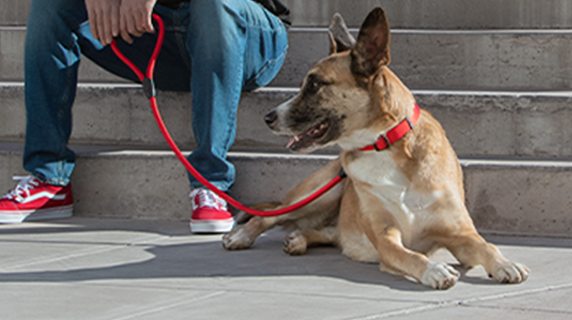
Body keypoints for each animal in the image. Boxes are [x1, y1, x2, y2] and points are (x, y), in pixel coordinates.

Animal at [221, 7, 528, 290]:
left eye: (315, 84)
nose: (268, 117)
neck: (383, 144)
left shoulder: (460, 234)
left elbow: (486, 246)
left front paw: (505, 263)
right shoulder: (385, 238)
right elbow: (410, 256)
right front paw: (433, 270)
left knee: (326, 232)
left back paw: (299, 239)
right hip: (320, 193)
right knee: (272, 215)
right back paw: (242, 235)